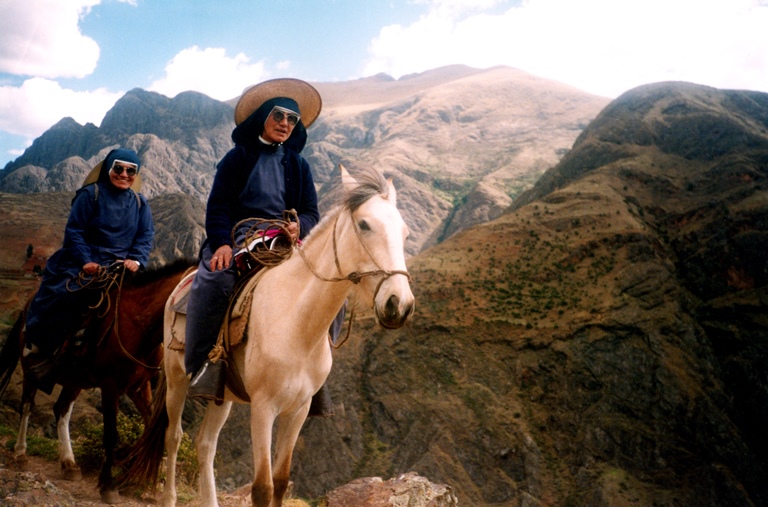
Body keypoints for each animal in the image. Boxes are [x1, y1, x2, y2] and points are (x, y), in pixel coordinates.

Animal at [0, 260, 195, 506]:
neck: (137, 324)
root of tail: (28, 305)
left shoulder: (140, 387)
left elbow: (150, 426)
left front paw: (138, 472)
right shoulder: (111, 387)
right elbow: (111, 434)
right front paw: (109, 484)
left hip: (75, 379)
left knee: (61, 409)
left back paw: (69, 464)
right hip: (29, 368)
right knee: (26, 406)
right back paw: (20, 453)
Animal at [121, 165, 414, 506]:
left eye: (404, 232)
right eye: (365, 225)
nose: (399, 304)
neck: (297, 324)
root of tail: (180, 286)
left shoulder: (298, 411)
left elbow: (281, 480)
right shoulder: (263, 409)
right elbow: (262, 487)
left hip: (221, 396)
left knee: (206, 443)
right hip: (177, 379)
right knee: (174, 436)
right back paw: (169, 497)